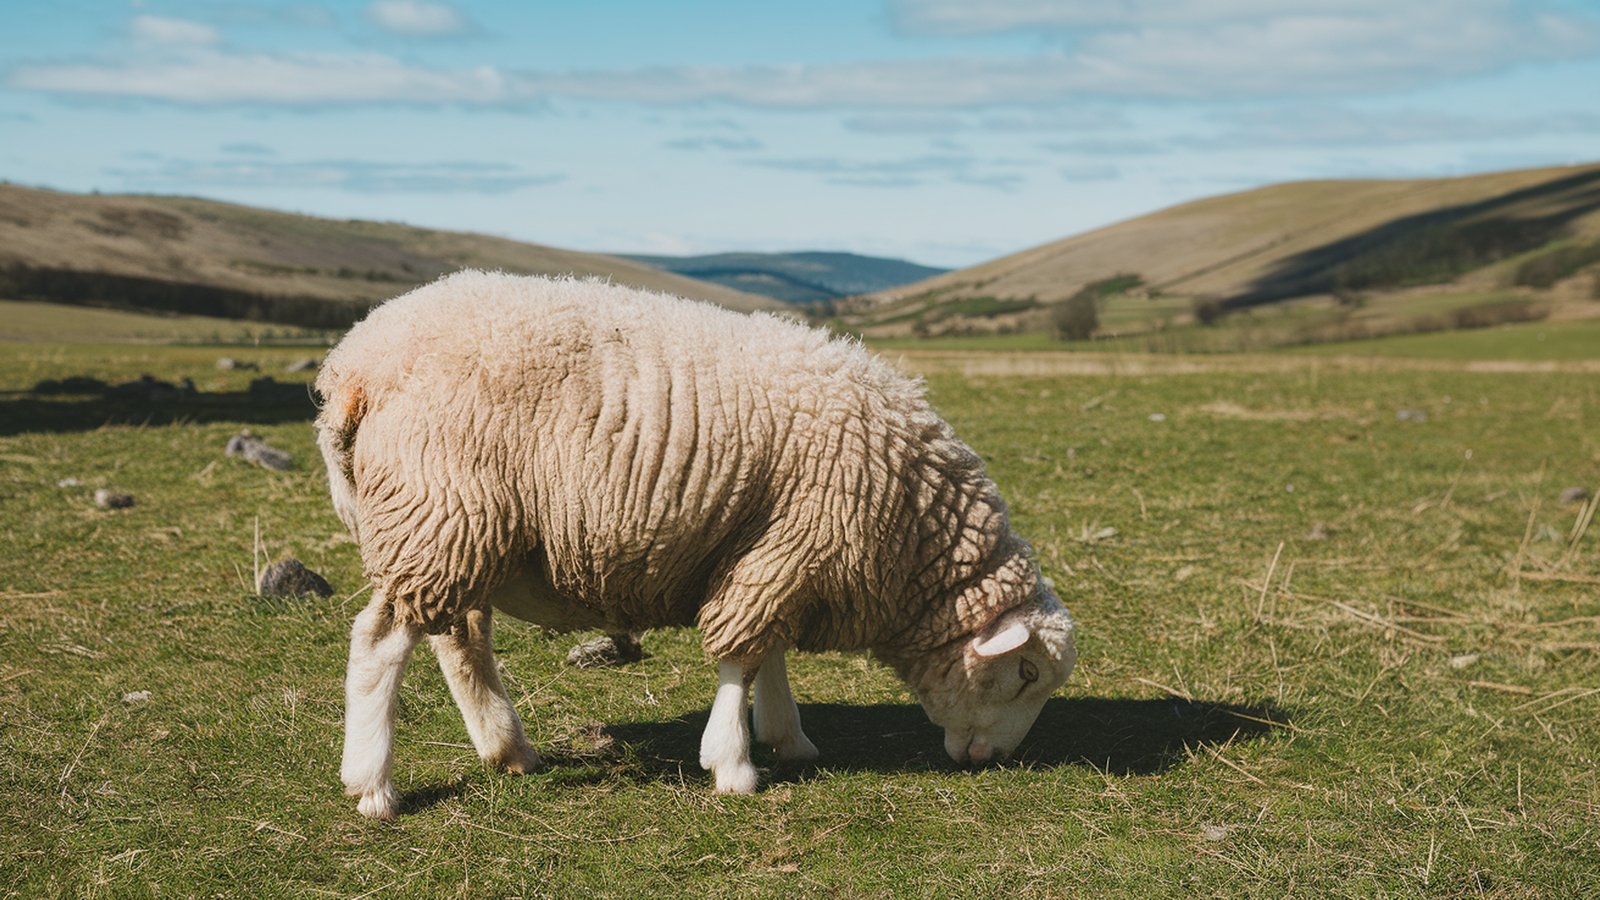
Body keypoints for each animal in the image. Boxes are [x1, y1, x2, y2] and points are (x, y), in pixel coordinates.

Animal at [312, 269, 1075, 816]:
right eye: (1026, 673)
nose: (997, 761)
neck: (915, 532)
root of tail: (356, 367)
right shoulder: (794, 544)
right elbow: (741, 656)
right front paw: (733, 764)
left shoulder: (777, 552)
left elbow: (767, 651)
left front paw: (787, 736)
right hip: (442, 509)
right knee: (381, 642)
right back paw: (373, 786)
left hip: (459, 528)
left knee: (458, 636)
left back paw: (508, 750)